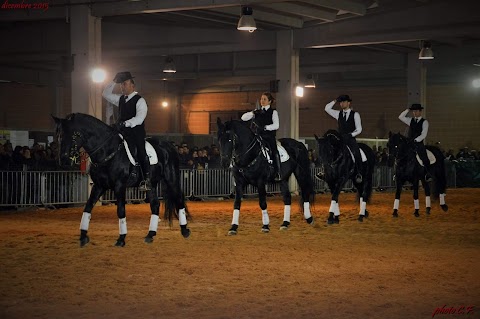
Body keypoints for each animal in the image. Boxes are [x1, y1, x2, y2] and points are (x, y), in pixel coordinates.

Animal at [51, 113, 189, 248]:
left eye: (73, 135)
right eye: (58, 136)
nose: (63, 161)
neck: (108, 151)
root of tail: (168, 146)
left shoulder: (119, 186)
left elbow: (121, 210)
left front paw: (121, 239)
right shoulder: (99, 186)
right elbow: (88, 207)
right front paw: (83, 236)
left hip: (171, 179)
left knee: (178, 199)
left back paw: (185, 231)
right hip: (152, 185)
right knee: (155, 205)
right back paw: (150, 235)